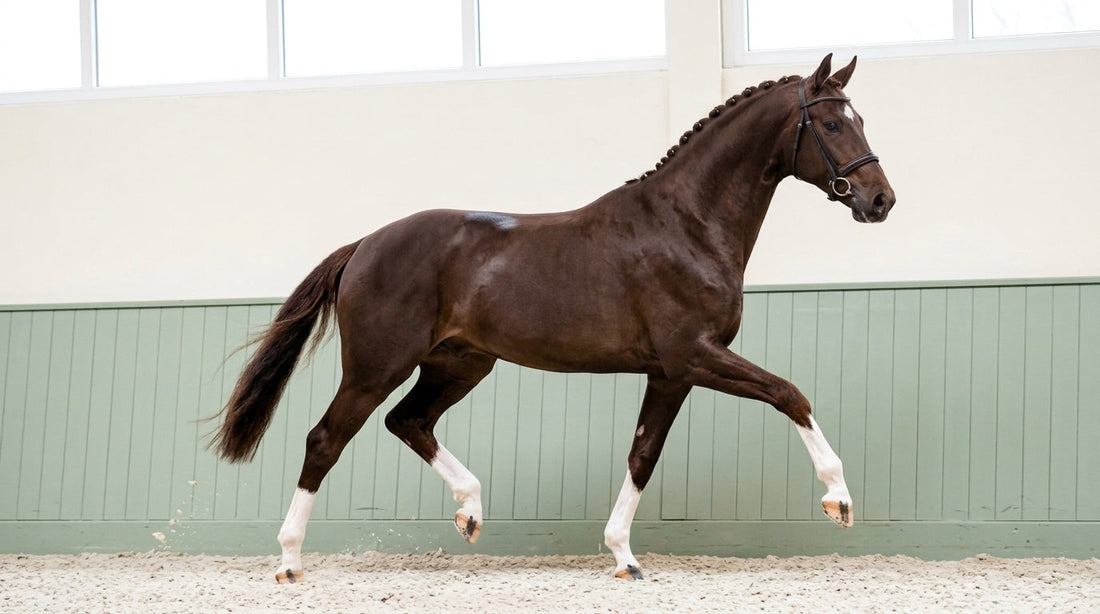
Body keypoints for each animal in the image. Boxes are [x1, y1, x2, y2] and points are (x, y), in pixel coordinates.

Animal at [209, 53, 896, 583]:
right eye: (832, 122)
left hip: (460, 364)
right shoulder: (694, 355)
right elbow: (790, 393)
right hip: (377, 366)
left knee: (408, 422)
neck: (687, 225)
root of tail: (364, 245)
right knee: (326, 439)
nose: (880, 200)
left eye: (859, 119)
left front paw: (623, 557)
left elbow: (642, 454)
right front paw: (839, 500)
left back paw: (470, 510)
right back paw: (289, 562)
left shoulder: (671, 373)